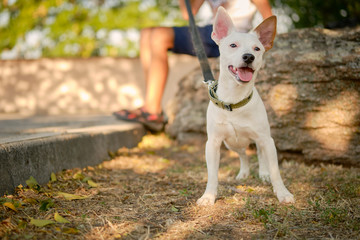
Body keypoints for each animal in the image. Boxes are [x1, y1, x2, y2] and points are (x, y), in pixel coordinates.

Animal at [197, 7, 296, 206]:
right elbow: (212, 174)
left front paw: (282, 193)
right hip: (231, 144)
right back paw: (243, 172)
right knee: (244, 155)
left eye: (257, 48)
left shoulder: (267, 140)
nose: (249, 57)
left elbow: (275, 171)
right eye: (233, 45)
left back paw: (263, 174)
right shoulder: (213, 144)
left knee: (259, 154)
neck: (235, 100)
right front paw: (208, 196)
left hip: (260, 140)